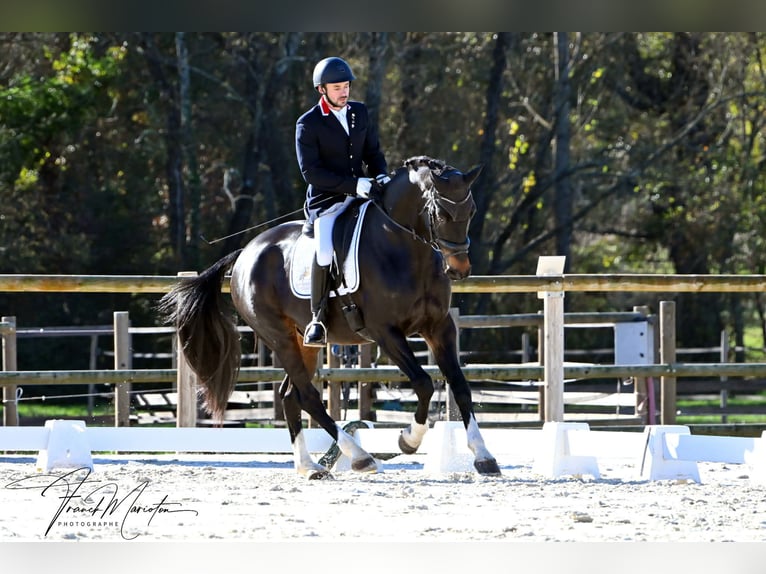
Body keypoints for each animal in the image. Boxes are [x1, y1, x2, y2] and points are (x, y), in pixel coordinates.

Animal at [159, 155, 501, 479]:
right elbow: (424, 383)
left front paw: (484, 456)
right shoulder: (385, 332)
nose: (459, 269)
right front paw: (408, 440)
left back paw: (309, 467)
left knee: (289, 395)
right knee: (308, 396)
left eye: (471, 211)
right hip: (278, 337)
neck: (405, 249)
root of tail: (245, 252)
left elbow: (460, 385)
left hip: (303, 342)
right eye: (440, 213)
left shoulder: (440, 327)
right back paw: (359, 457)